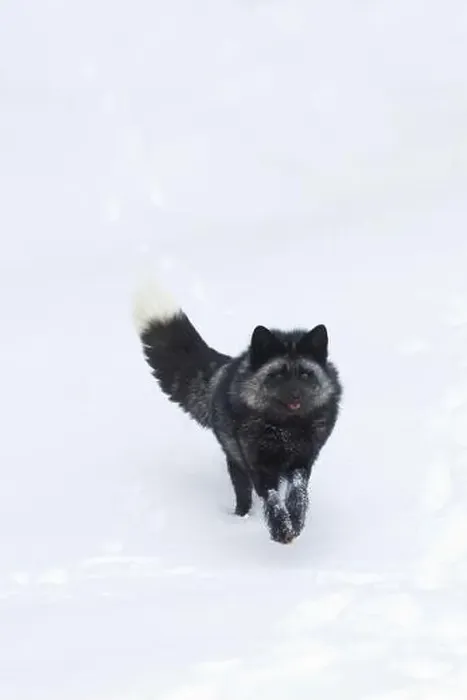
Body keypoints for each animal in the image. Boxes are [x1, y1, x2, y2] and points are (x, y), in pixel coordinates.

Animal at [133, 279, 342, 544]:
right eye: (277, 375)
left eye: (305, 374)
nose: (296, 395)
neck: (285, 430)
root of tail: (227, 366)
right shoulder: (259, 467)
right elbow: (272, 498)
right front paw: (280, 529)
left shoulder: (303, 462)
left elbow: (298, 492)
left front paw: (296, 520)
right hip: (235, 462)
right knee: (243, 495)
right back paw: (241, 517)